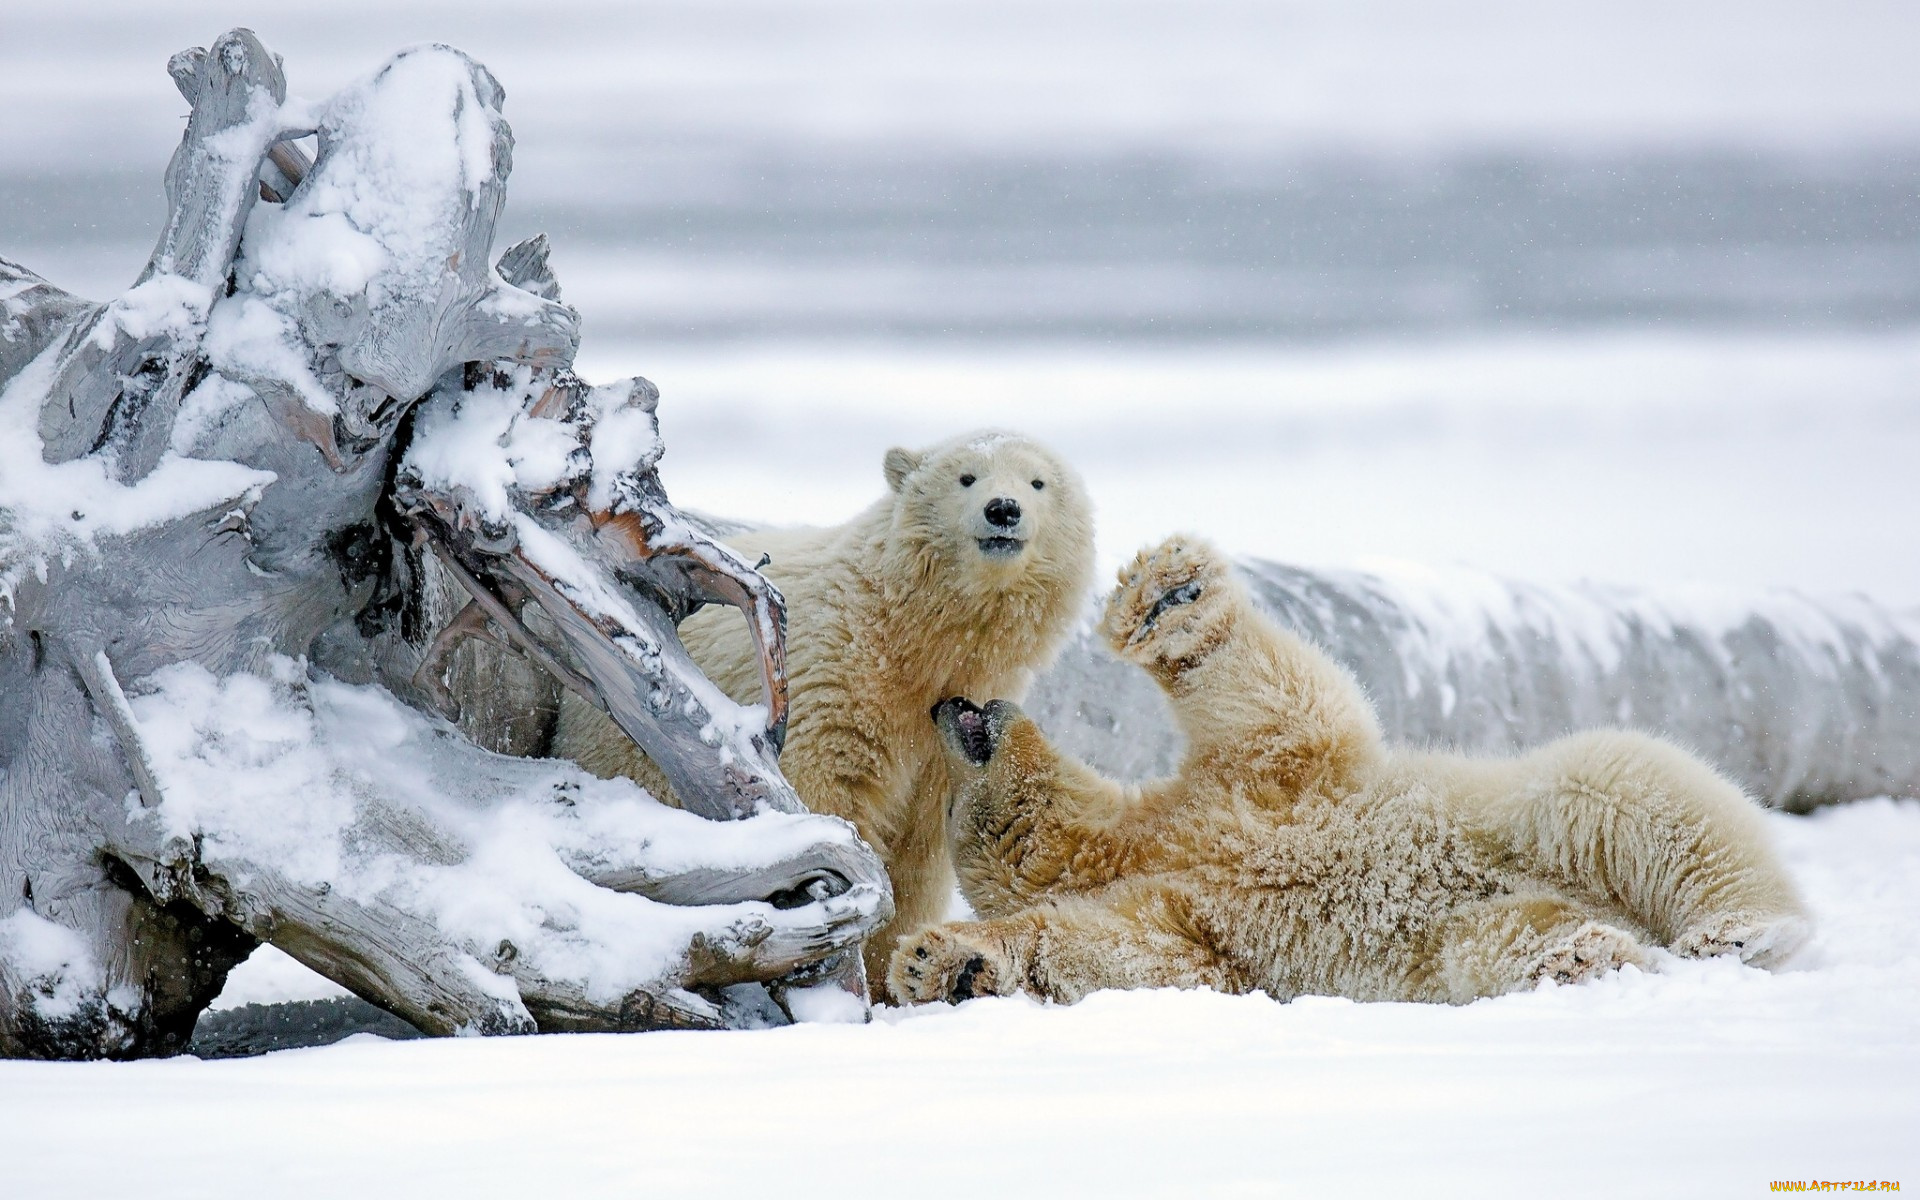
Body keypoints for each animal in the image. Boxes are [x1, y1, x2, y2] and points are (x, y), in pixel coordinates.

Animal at [556, 430, 1098, 983]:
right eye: (966, 477)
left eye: (1038, 482)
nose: (1004, 509)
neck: (908, 636)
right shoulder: (831, 673)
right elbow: (828, 793)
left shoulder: (940, 744)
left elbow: (920, 851)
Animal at [890, 533, 1804, 998]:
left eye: (946, 798)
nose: (948, 704)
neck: (1126, 844)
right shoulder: (1179, 911)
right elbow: (1151, 960)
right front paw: (948, 962)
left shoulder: (1250, 788)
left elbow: (1281, 707)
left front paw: (1167, 596)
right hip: (1449, 945)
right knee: (1495, 942)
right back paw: (1585, 957)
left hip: (1526, 816)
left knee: (1621, 787)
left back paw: (1738, 928)